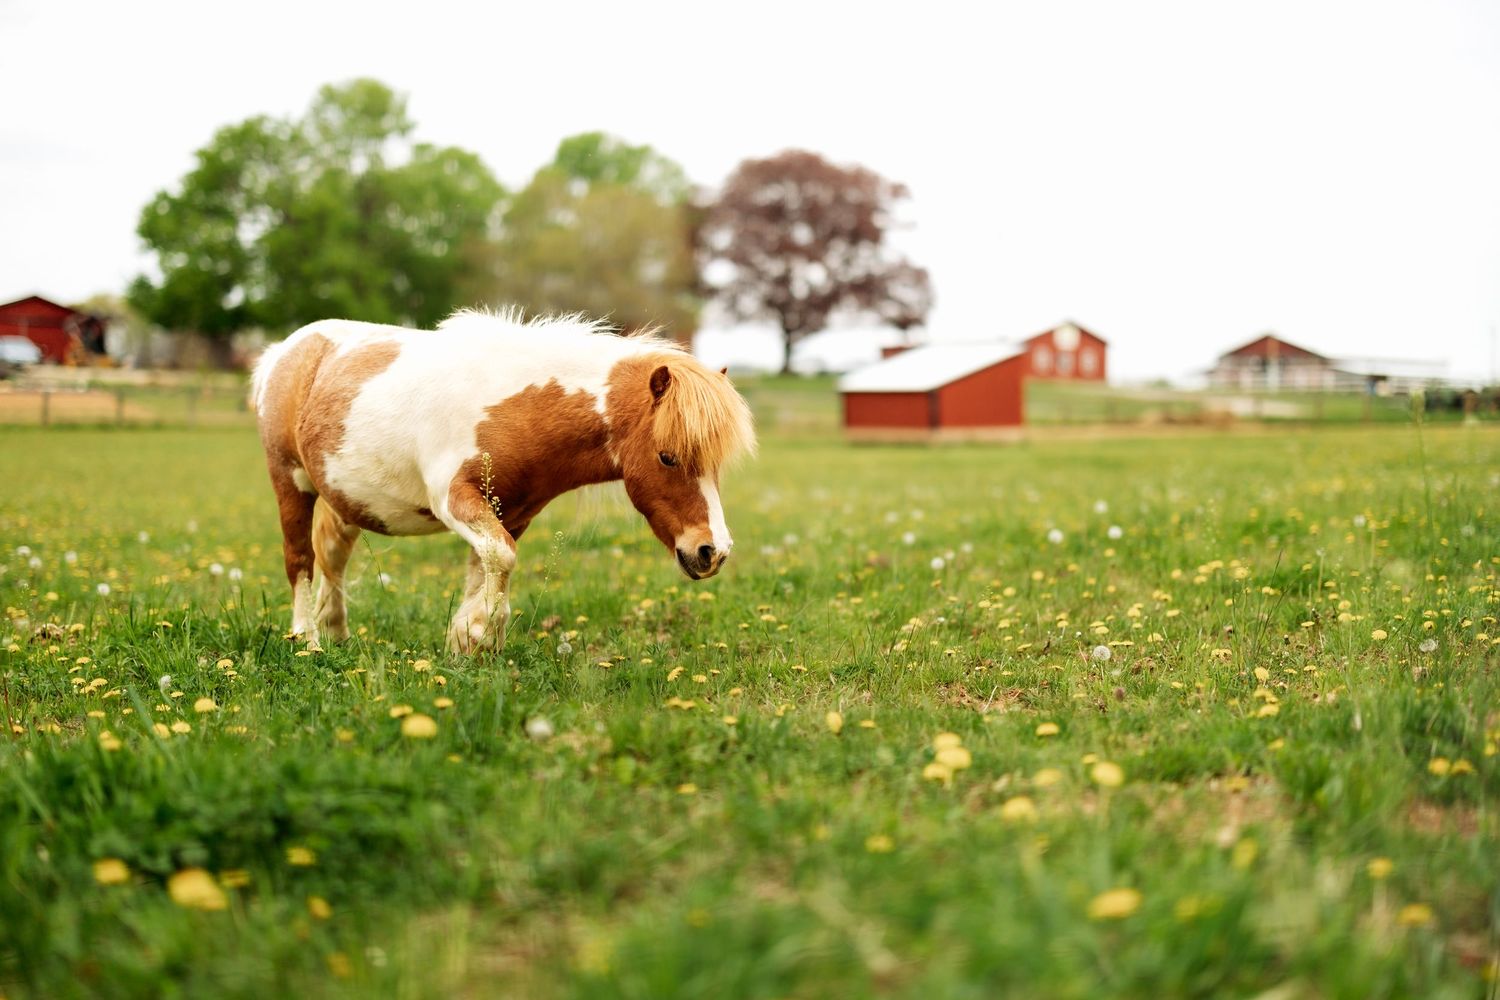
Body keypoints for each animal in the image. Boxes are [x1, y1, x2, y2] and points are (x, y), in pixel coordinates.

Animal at [250, 309, 756, 653]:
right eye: (667, 457)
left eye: (714, 464)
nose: (713, 551)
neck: (517, 409)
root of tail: (284, 352)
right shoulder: (454, 499)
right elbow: (502, 558)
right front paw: (477, 634)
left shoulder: (510, 512)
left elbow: (487, 566)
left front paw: (468, 644)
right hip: (288, 480)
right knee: (300, 559)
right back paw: (309, 641)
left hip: (346, 498)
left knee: (333, 556)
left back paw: (336, 633)